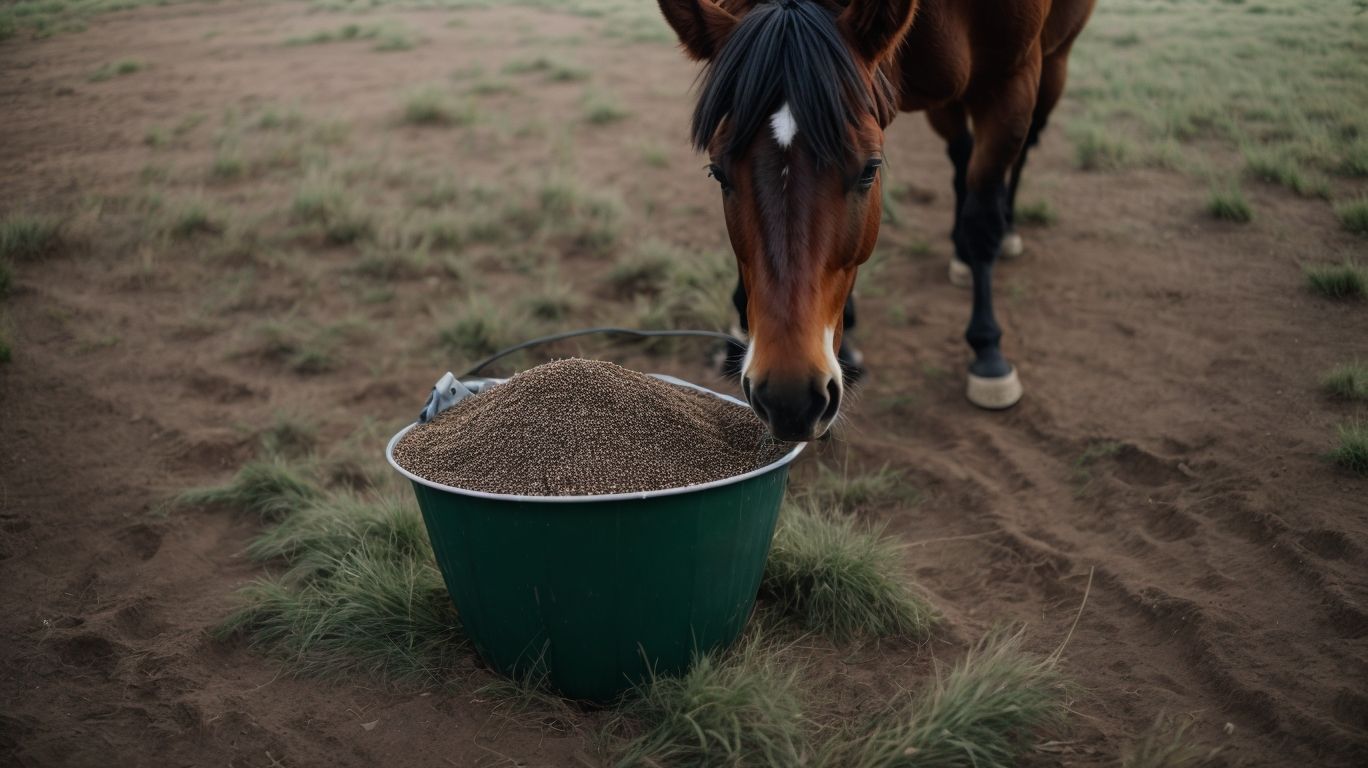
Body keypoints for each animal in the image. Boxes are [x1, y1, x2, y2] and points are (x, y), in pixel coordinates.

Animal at [656, 0, 1096, 441]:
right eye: (718, 173)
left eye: (870, 169)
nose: (788, 397)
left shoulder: (1011, 82)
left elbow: (982, 222)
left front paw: (988, 351)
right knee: (961, 155)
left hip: (1052, 64)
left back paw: (1006, 234)